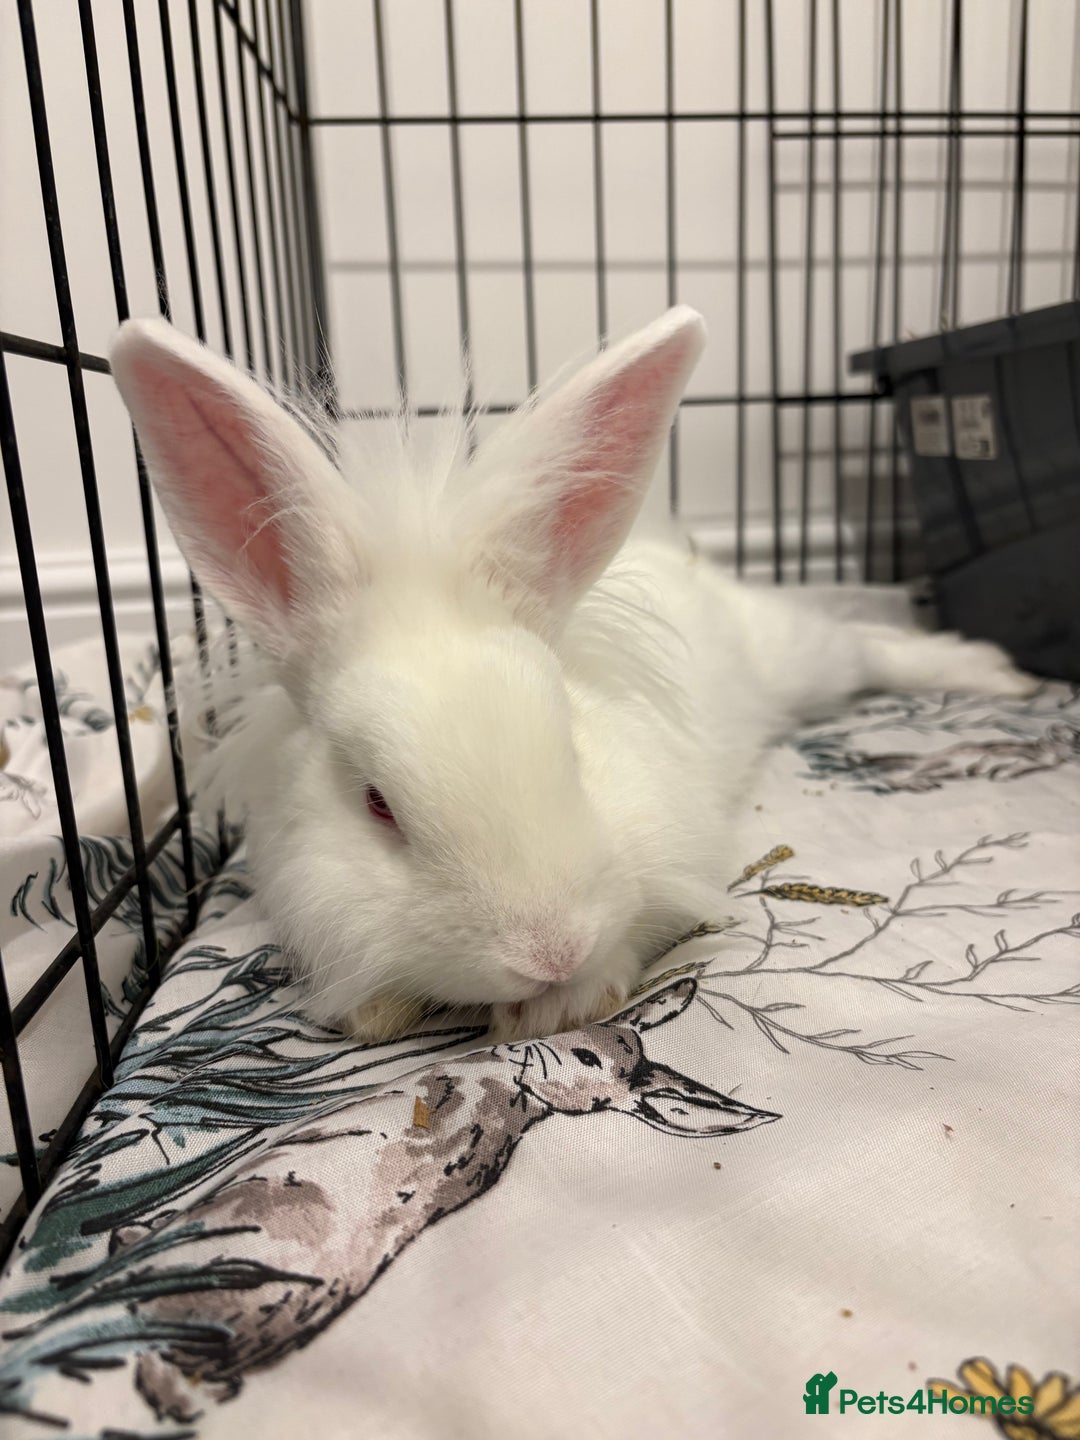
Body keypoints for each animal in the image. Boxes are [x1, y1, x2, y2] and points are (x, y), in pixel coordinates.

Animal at [108, 307, 1036, 1046]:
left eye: (574, 755)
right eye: (377, 806)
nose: (548, 951)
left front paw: (561, 1006)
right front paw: (385, 1013)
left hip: (795, 656)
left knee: (868, 647)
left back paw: (997, 672)